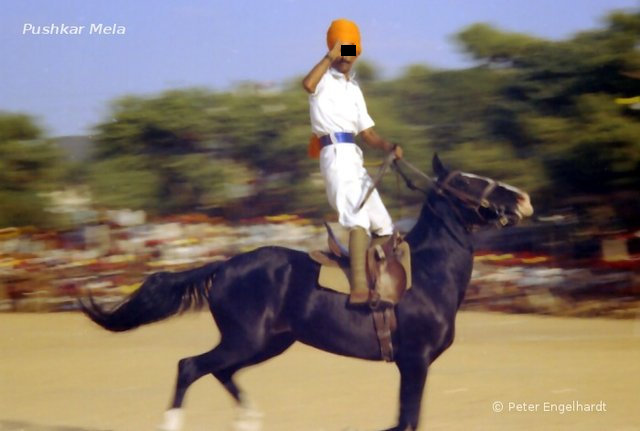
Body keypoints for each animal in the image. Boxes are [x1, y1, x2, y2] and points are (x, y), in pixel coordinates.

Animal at [81, 155, 536, 431]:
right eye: (469, 181)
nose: (523, 199)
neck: (424, 274)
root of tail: (224, 266)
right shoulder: (415, 361)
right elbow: (407, 420)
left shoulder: (413, 365)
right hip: (247, 340)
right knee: (190, 366)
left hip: (267, 343)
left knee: (220, 372)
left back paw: (250, 420)